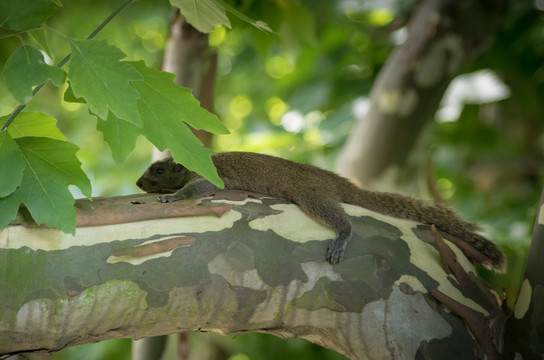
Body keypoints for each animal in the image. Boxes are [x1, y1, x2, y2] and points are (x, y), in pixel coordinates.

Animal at [136, 150, 506, 272]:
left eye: (158, 170)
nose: (139, 183)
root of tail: (338, 182)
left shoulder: (204, 179)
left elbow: (196, 190)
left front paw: (171, 199)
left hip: (311, 195)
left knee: (341, 221)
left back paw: (343, 236)